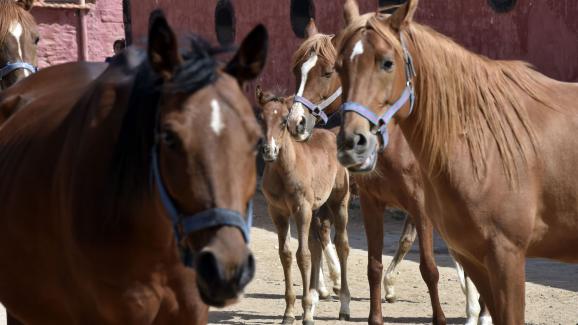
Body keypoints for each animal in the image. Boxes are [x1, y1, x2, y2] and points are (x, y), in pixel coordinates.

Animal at [258, 87, 352, 322]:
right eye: (261, 118)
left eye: (284, 121)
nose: (269, 151)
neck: (285, 169)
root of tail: (331, 133)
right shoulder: (277, 212)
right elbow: (286, 255)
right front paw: (290, 311)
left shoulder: (301, 210)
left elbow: (303, 255)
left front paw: (306, 310)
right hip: (316, 209)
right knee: (316, 242)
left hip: (339, 202)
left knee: (342, 244)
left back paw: (344, 306)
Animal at [286, 17, 446, 324]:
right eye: (296, 71)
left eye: (327, 73)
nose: (296, 122)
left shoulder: (419, 203)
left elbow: (410, 244)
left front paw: (391, 286)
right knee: (321, 233)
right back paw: (329, 284)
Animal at [332, 0, 576, 322]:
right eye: (338, 67)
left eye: (387, 63)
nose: (352, 143)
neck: (486, 142)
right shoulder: (474, 257)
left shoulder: (507, 256)